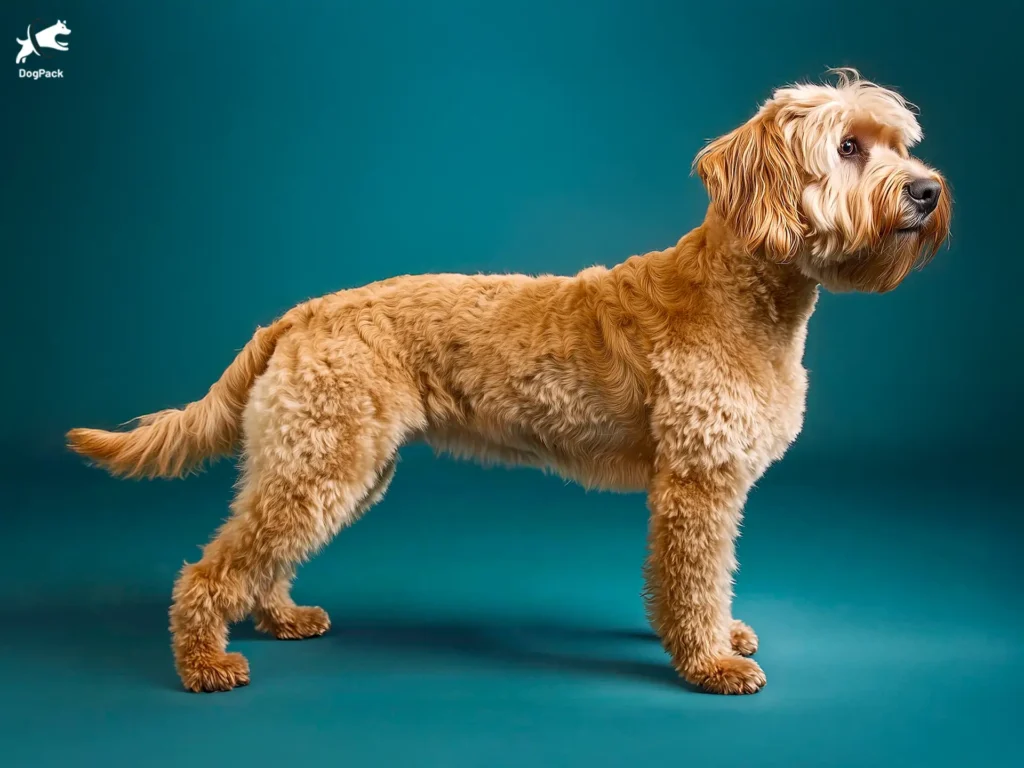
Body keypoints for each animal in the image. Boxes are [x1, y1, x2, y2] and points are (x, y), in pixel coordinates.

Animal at [70, 70, 950, 696]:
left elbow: (710, 576)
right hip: (324, 459)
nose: (928, 190)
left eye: (899, 143)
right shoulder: (698, 484)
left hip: (327, 460)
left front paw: (722, 634)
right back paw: (203, 663)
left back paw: (281, 616)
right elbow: (694, 576)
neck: (743, 291)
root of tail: (301, 314)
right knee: (212, 569)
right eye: (848, 148)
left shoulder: (713, 485)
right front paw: (709, 663)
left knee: (263, 553)